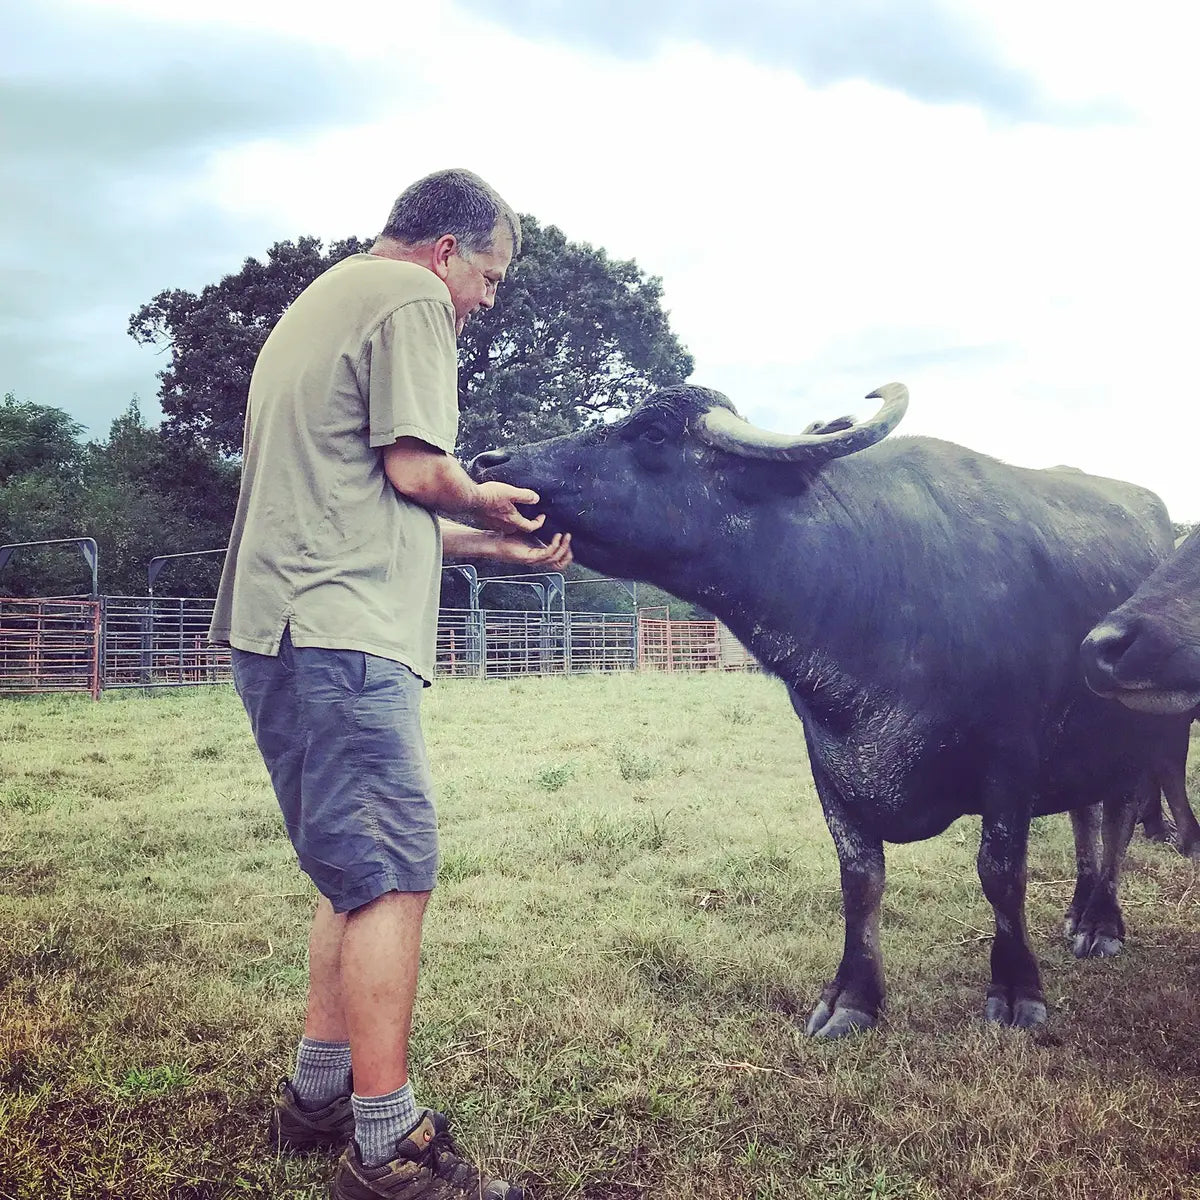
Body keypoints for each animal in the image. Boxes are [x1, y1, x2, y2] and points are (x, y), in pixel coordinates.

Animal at [471, 384, 1190, 1037]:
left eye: (649, 433)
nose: (489, 460)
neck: (874, 588)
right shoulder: (829, 759)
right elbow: (860, 880)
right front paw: (853, 999)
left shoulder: (1010, 761)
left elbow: (1000, 874)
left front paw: (1017, 991)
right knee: (1085, 820)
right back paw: (1078, 911)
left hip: (1150, 738)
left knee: (1120, 818)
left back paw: (1101, 923)